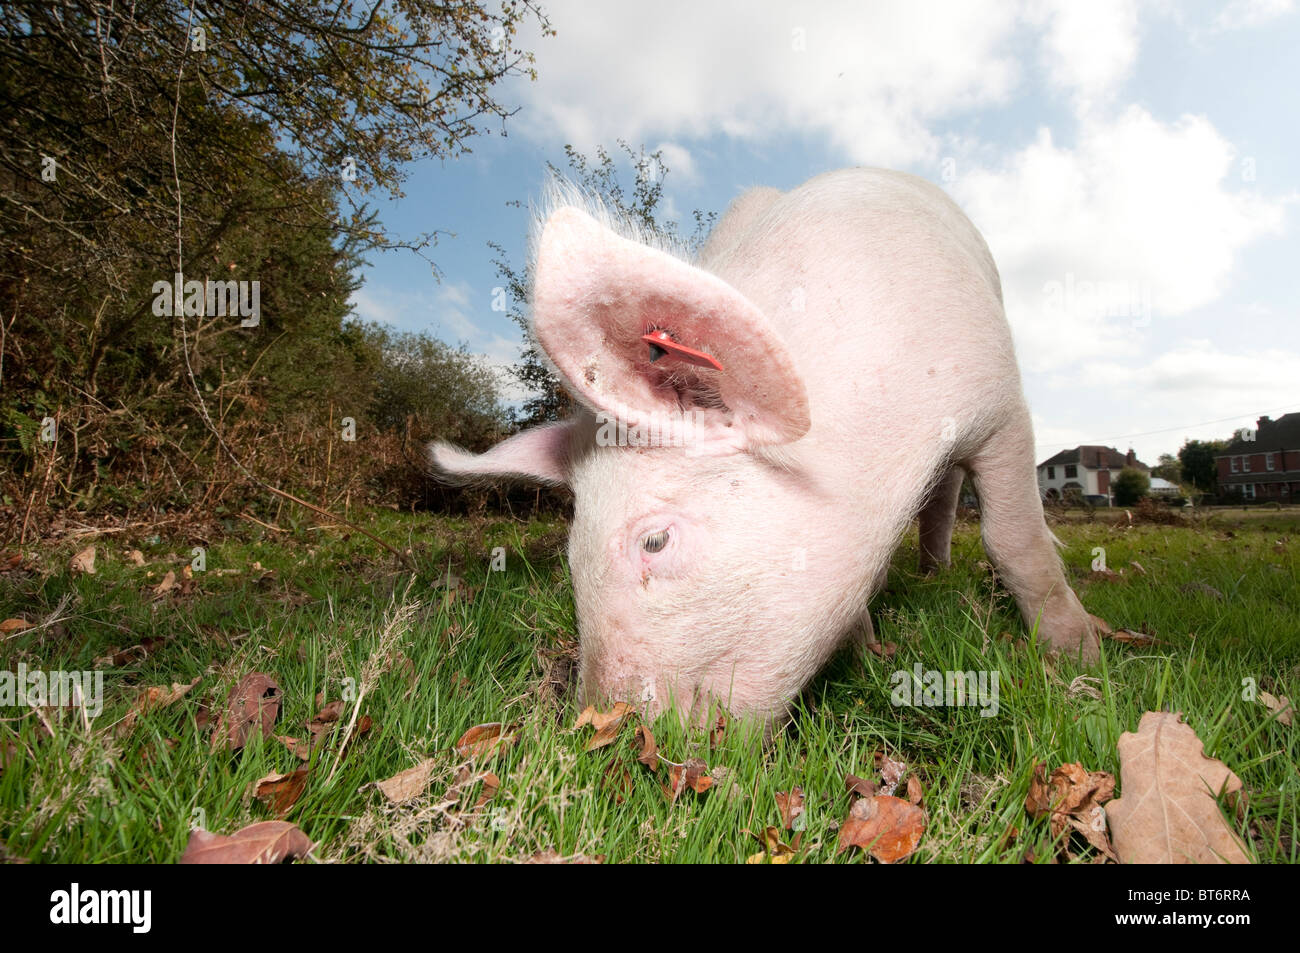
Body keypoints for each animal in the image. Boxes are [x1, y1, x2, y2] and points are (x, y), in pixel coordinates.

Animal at [434, 169, 1097, 722]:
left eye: (655, 541)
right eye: (570, 552)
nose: (601, 729)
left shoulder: (1001, 405)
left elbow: (1014, 541)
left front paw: (1081, 656)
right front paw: (868, 648)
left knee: (951, 492)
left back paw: (939, 575)